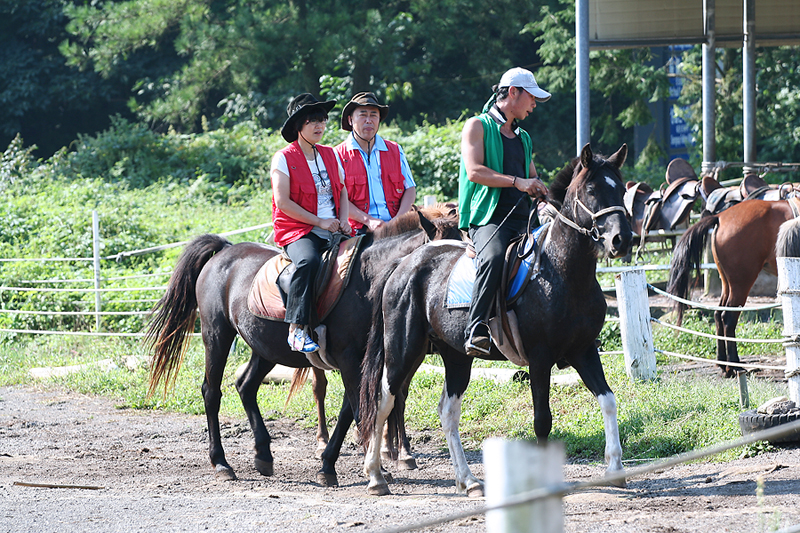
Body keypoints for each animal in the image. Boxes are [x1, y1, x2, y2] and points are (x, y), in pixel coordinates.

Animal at [358, 144, 632, 494]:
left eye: (621, 189)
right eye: (592, 190)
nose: (621, 240)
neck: (563, 271)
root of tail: (404, 264)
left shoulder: (584, 351)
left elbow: (608, 400)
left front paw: (615, 467)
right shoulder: (539, 359)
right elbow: (542, 420)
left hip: (457, 357)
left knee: (447, 412)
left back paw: (467, 479)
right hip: (402, 351)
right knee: (384, 401)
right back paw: (376, 476)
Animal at [664, 197, 796, 376]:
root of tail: (720, 217)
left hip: (727, 283)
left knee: (718, 314)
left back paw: (723, 363)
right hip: (741, 282)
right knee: (728, 317)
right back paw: (734, 365)